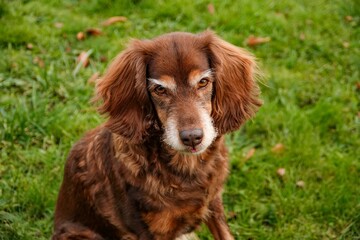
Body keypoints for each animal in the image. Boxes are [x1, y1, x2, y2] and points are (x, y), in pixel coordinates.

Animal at [52, 31, 262, 239]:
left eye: (203, 82)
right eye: (160, 89)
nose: (192, 137)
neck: (186, 169)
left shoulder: (214, 202)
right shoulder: (148, 230)